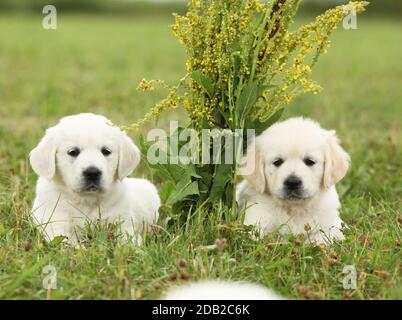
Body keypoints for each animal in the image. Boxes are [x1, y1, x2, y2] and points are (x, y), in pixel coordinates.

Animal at [29, 113, 160, 245]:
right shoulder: (57, 226)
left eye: (106, 151)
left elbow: (128, 242)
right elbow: (69, 245)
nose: (92, 173)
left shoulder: (123, 223)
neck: (87, 200)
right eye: (73, 152)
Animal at [237, 116, 350, 244]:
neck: (294, 209)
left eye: (310, 161)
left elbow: (320, 239)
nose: (292, 182)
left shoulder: (328, 224)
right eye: (277, 162)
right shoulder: (257, 217)